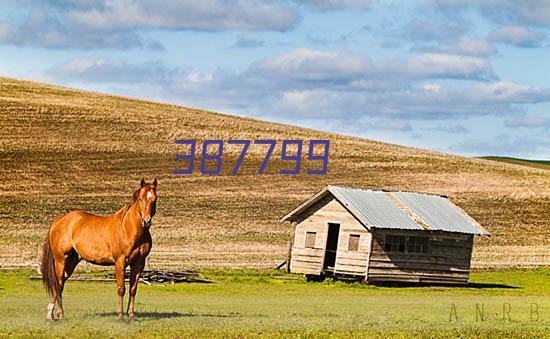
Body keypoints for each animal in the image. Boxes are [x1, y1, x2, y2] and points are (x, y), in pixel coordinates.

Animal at [40, 179, 157, 322]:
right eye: (140, 199)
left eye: (154, 199)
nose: (146, 221)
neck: (128, 229)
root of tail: (58, 220)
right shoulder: (120, 262)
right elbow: (121, 288)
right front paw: (120, 317)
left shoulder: (139, 263)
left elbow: (133, 289)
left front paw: (131, 317)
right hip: (60, 261)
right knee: (57, 284)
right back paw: (52, 315)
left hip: (71, 261)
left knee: (60, 285)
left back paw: (58, 315)